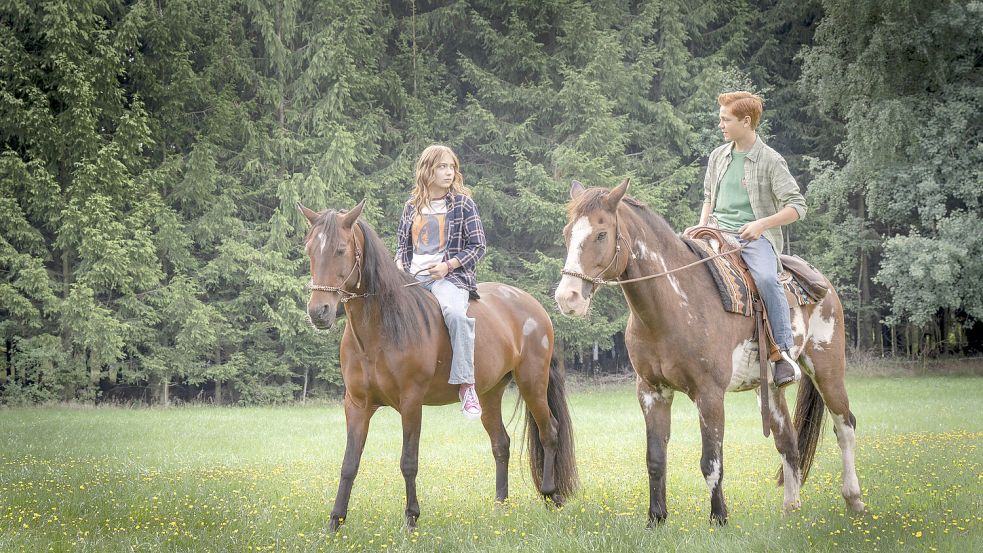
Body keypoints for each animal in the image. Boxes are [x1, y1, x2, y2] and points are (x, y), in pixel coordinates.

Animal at [300, 201, 576, 528]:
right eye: (309, 250)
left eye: (341, 249)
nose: (318, 312)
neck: (380, 330)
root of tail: (535, 307)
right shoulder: (356, 404)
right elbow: (348, 464)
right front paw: (335, 521)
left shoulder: (410, 403)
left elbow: (408, 461)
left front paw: (411, 518)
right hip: (489, 394)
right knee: (501, 444)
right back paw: (500, 506)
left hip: (532, 383)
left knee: (550, 432)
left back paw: (551, 495)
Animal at [556, 179, 864, 524]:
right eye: (567, 232)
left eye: (601, 234)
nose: (567, 297)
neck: (672, 306)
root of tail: (822, 282)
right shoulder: (651, 391)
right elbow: (655, 458)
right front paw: (656, 519)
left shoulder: (709, 394)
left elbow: (711, 461)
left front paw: (719, 518)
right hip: (770, 387)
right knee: (788, 441)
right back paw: (791, 507)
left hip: (827, 368)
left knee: (845, 426)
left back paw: (854, 499)